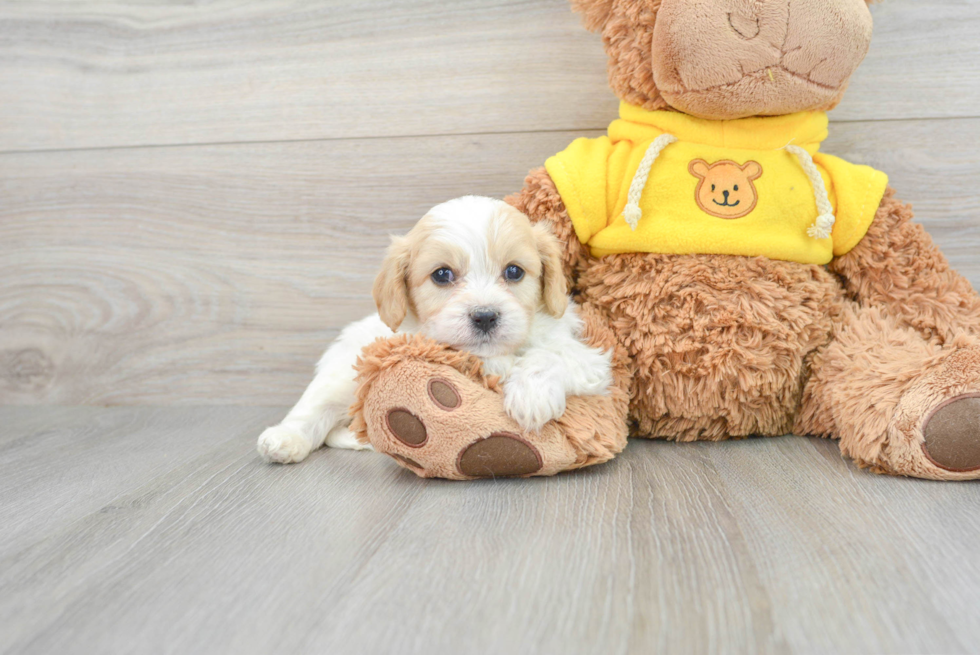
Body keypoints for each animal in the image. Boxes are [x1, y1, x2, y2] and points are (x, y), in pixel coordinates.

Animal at [260, 197, 612, 464]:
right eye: (442, 275)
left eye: (514, 271)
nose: (485, 316)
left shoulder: (589, 361)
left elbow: (550, 356)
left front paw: (531, 395)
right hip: (343, 372)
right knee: (314, 408)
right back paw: (284, 438)